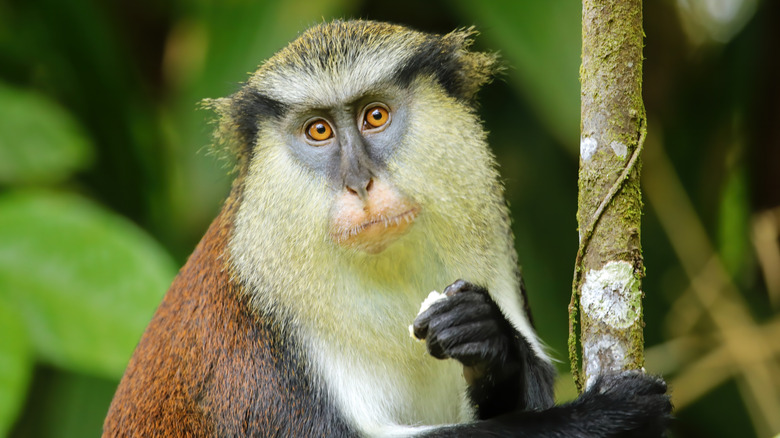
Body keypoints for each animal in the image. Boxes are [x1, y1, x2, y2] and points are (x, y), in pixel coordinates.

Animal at [103, 20, 671, 437]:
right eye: (318, 130)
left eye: (375, 116)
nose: (360, 183)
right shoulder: (260, 360)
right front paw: (609, 417)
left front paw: (486, 335)